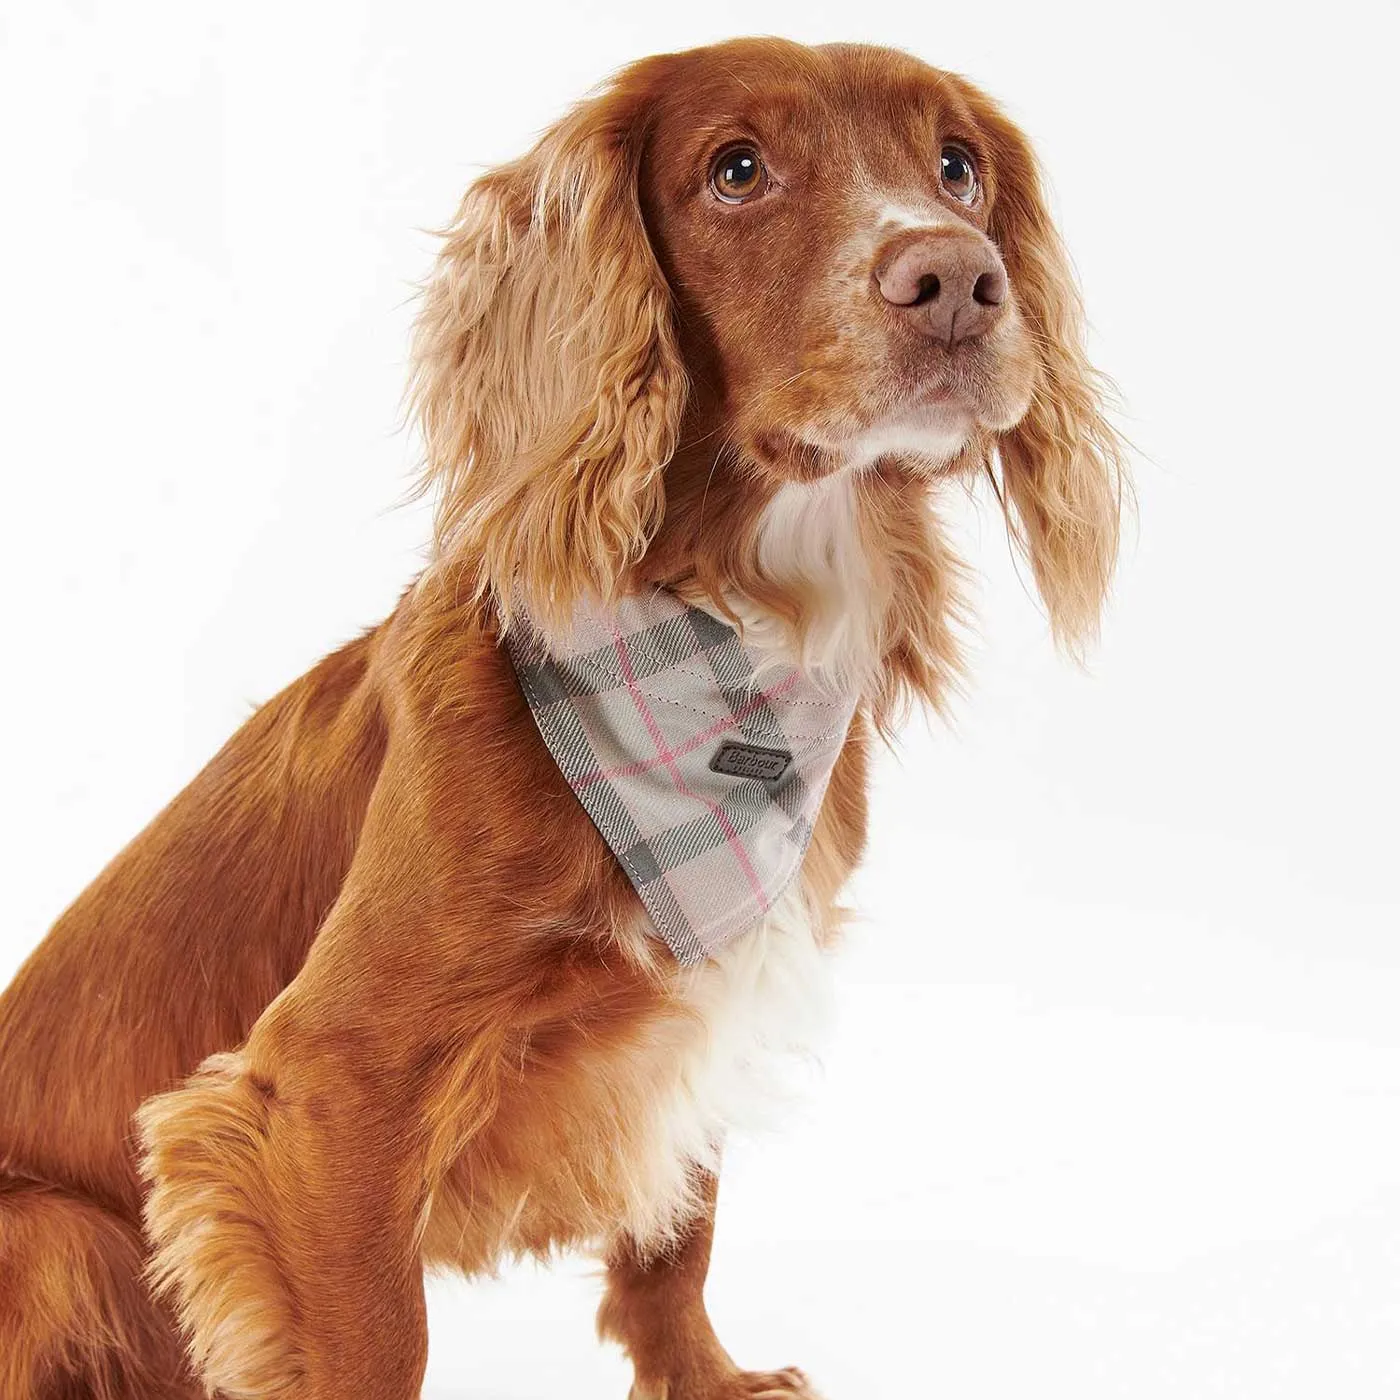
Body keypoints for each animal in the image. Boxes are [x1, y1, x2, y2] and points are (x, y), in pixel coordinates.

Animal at [0, 32, 1125, 1400]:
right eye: (735, 169)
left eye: (956, 165)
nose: (955, 277)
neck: (728, 635)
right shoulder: (325, 1082)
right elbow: (376, 1333)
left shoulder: (705, 984)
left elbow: (676, 1230)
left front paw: (705, 1377)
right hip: (51, 1229)